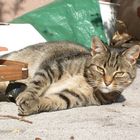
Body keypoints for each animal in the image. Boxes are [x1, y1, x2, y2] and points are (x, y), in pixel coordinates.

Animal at [0, 36, 139, 115]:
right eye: (100, 69)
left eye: (119, 73)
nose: (107, 82)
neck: (87, 81)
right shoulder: (53, 67)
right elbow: (38, 82)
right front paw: (26, 95)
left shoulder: (72, 97)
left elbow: (51, 101)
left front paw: (32, 104)